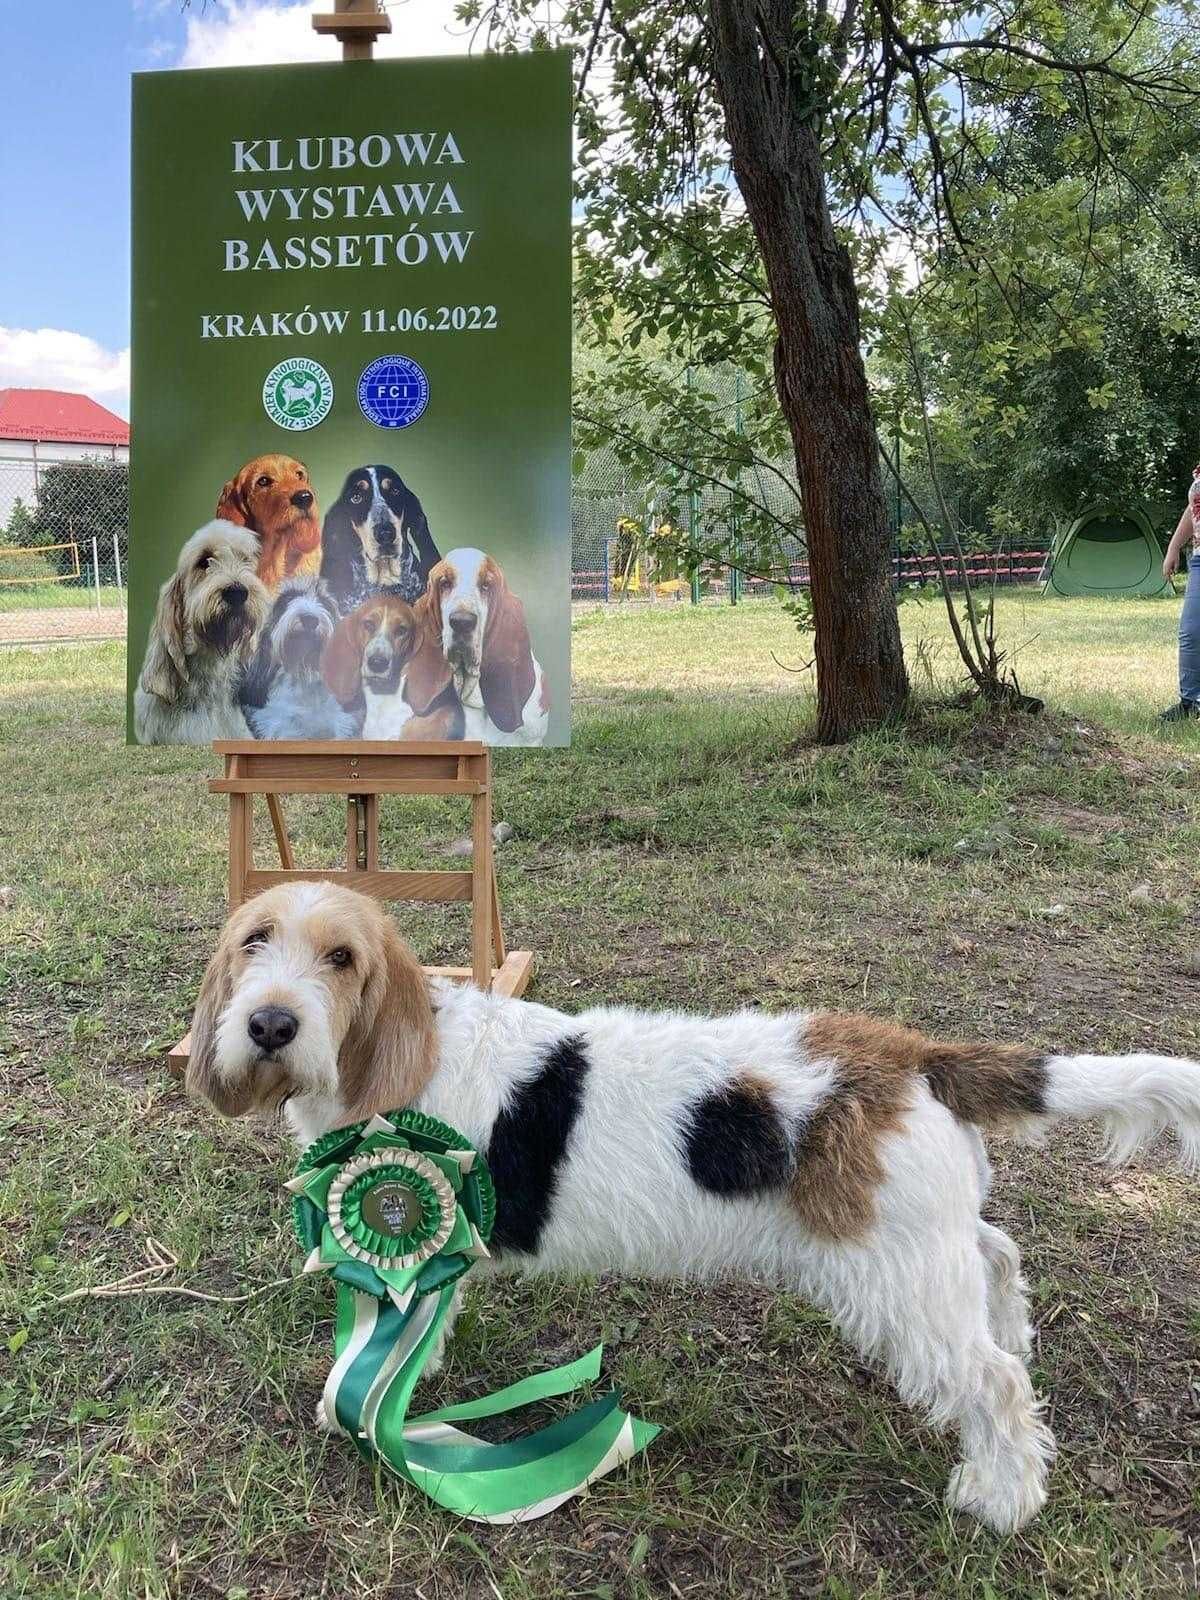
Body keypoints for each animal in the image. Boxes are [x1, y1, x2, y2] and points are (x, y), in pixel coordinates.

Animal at [183, 876, 1200, 1536]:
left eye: (342, 957)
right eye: (253, 942)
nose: (270, 1025)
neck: (397, 1051)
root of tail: (916, 1056)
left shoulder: (419, 1242)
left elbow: (389, 1344)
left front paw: (359, 1409)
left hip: (899, 1278)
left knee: (994, 1383)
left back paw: (1004, 1500)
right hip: (923, 1244)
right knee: (997, 1255)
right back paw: (1015, 1335)